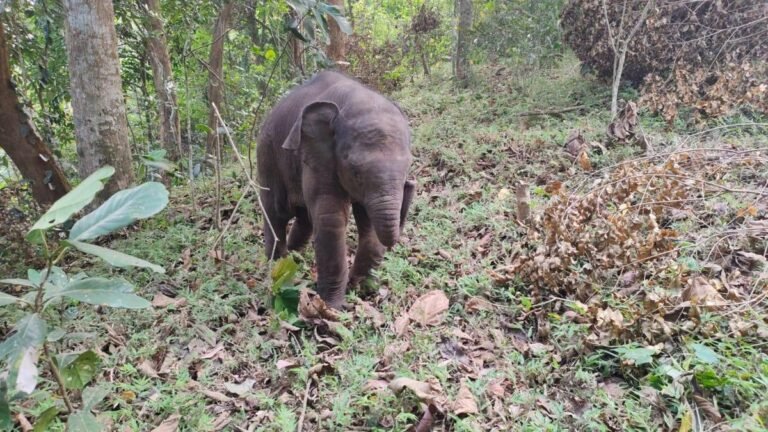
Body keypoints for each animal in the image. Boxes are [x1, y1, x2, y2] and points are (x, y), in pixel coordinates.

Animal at [256, 71, 415, 309]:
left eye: (408, 165)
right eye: (355, 171)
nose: (410, 184)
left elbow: (367, 221)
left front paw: (360, 287)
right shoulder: (319, 154)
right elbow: (330, 217)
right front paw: (332, 307)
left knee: (304, 217)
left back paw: (294, 257)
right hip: (266, 154)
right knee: (276, 212)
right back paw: (277, 266)